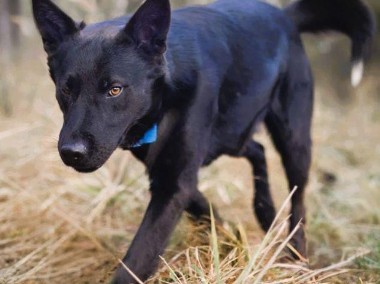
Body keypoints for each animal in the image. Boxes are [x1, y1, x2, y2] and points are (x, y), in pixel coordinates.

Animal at [31, 0, 374, 282]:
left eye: (114, 89)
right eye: (66, 89)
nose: (71, 153)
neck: (168, 86)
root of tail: (284, 15)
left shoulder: (174, 180)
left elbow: (139, 257)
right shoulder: (169, 173)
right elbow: (201, 205)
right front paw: (227, 236)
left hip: (293, 138)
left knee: (298, 198)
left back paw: (297, 257)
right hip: (233, 132)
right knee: (256, 149)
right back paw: (263, 211)